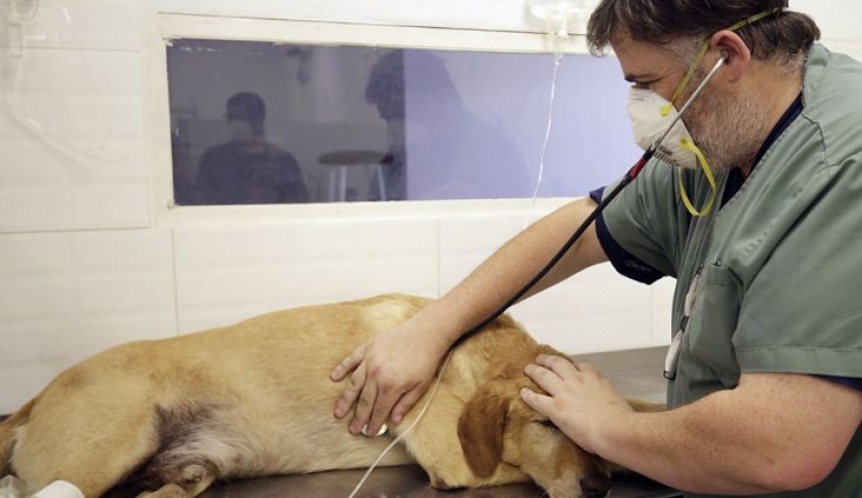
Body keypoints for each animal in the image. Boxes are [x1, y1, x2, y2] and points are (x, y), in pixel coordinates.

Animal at [0, 294, 660, 498]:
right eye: (544, 425)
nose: (598, 488)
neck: (467, 354)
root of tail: (31, 401)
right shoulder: (457, 461)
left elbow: (634, 414)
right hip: (112, 443)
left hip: (188, 475)